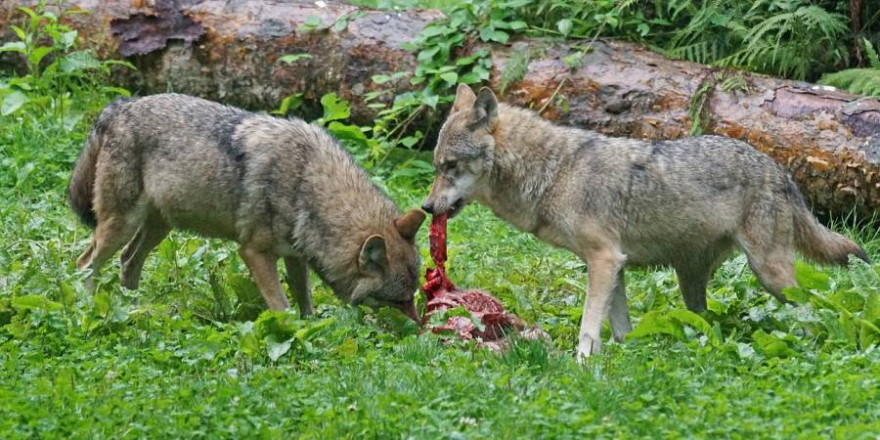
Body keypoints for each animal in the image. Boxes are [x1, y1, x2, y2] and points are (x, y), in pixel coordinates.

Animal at [69, 93, 426, 320]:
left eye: (412, 297)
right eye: (398, 301)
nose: (419, 329)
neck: (306, 181)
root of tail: (119, 106)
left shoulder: (295, 256)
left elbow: (305, 302)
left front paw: (311, 329)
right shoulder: (254, 252)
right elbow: (281, 306)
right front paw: (290, 334)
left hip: (158, 228)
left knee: (128, 262)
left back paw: (133, 307)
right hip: (120, 225)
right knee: (85, 263)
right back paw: (91, 306)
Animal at [424, 84, 868, 360]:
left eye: (450, 166)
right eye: (436, 166)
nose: (427, 207)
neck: (554, 172)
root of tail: (779, 168)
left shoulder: (604, 260)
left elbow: (588, 326)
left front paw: (581, 364)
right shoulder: (613, 265)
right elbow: (620, 328)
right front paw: (624, 356)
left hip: (770, 273)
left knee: (815, 310)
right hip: (692, 280)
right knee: (703, 319)